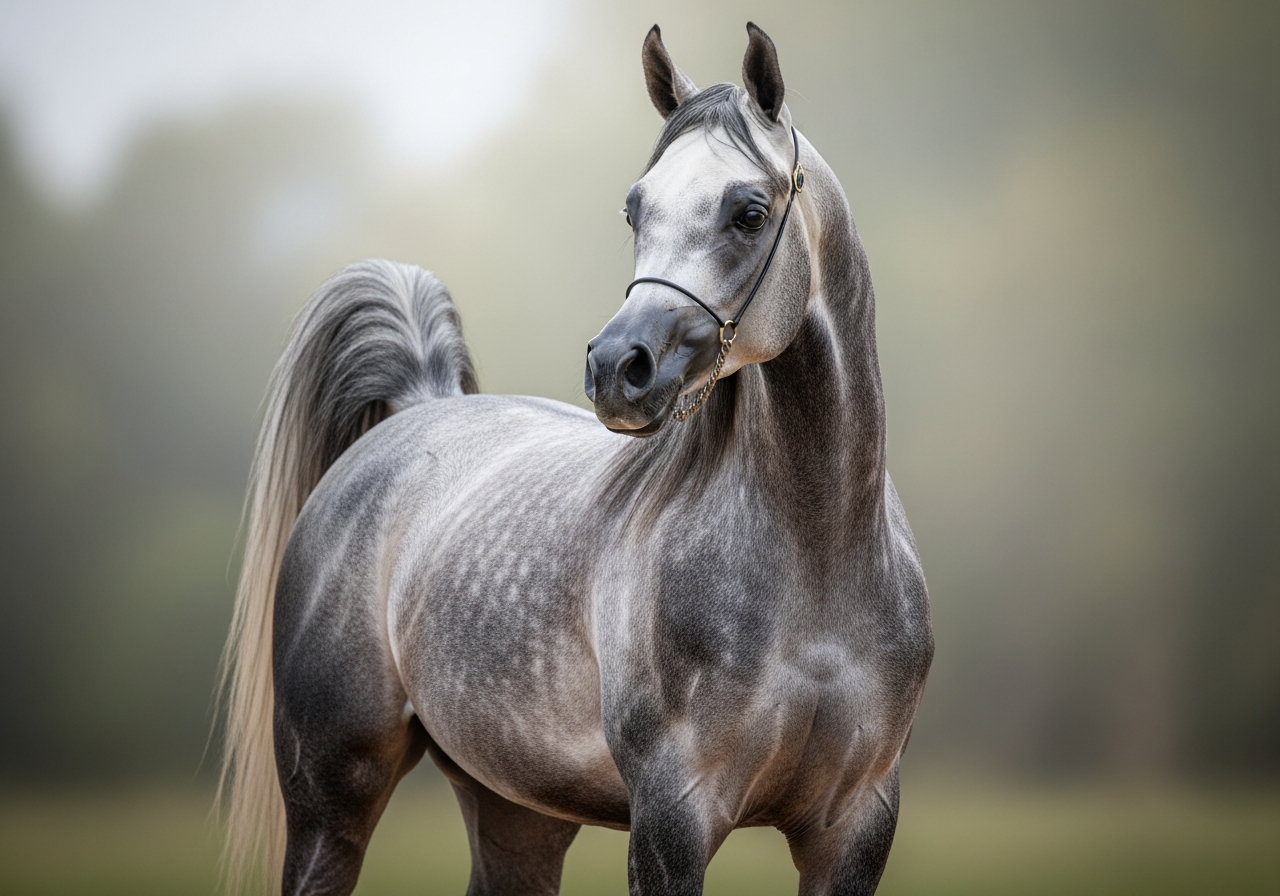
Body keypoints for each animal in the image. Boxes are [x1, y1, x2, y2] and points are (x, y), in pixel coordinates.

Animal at [219, 22, 933, 896]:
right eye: (635, 208)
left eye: (749, 211)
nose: (619, 367)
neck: (819, 556)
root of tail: (418, 410)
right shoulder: (671, 820)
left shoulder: (856, 826)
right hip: (331, 794)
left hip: (517, 809)